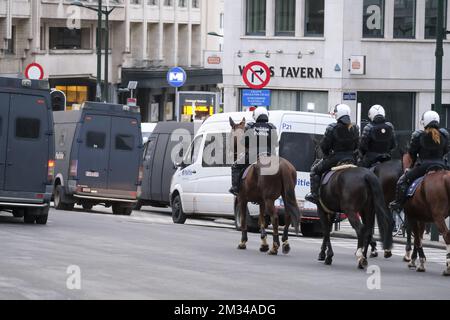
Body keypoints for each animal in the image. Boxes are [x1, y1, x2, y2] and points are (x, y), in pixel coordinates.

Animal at [230, 117, 300, 255]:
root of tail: (282, 165)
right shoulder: (261, 201)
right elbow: (261, 220)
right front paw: (263, 244)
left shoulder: (242, 199)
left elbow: (245, 221)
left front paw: (243, 242)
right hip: (285, 196)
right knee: (288, 215)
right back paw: (285, 243)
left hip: (269, 200)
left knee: (275, 217)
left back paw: (275, 247)